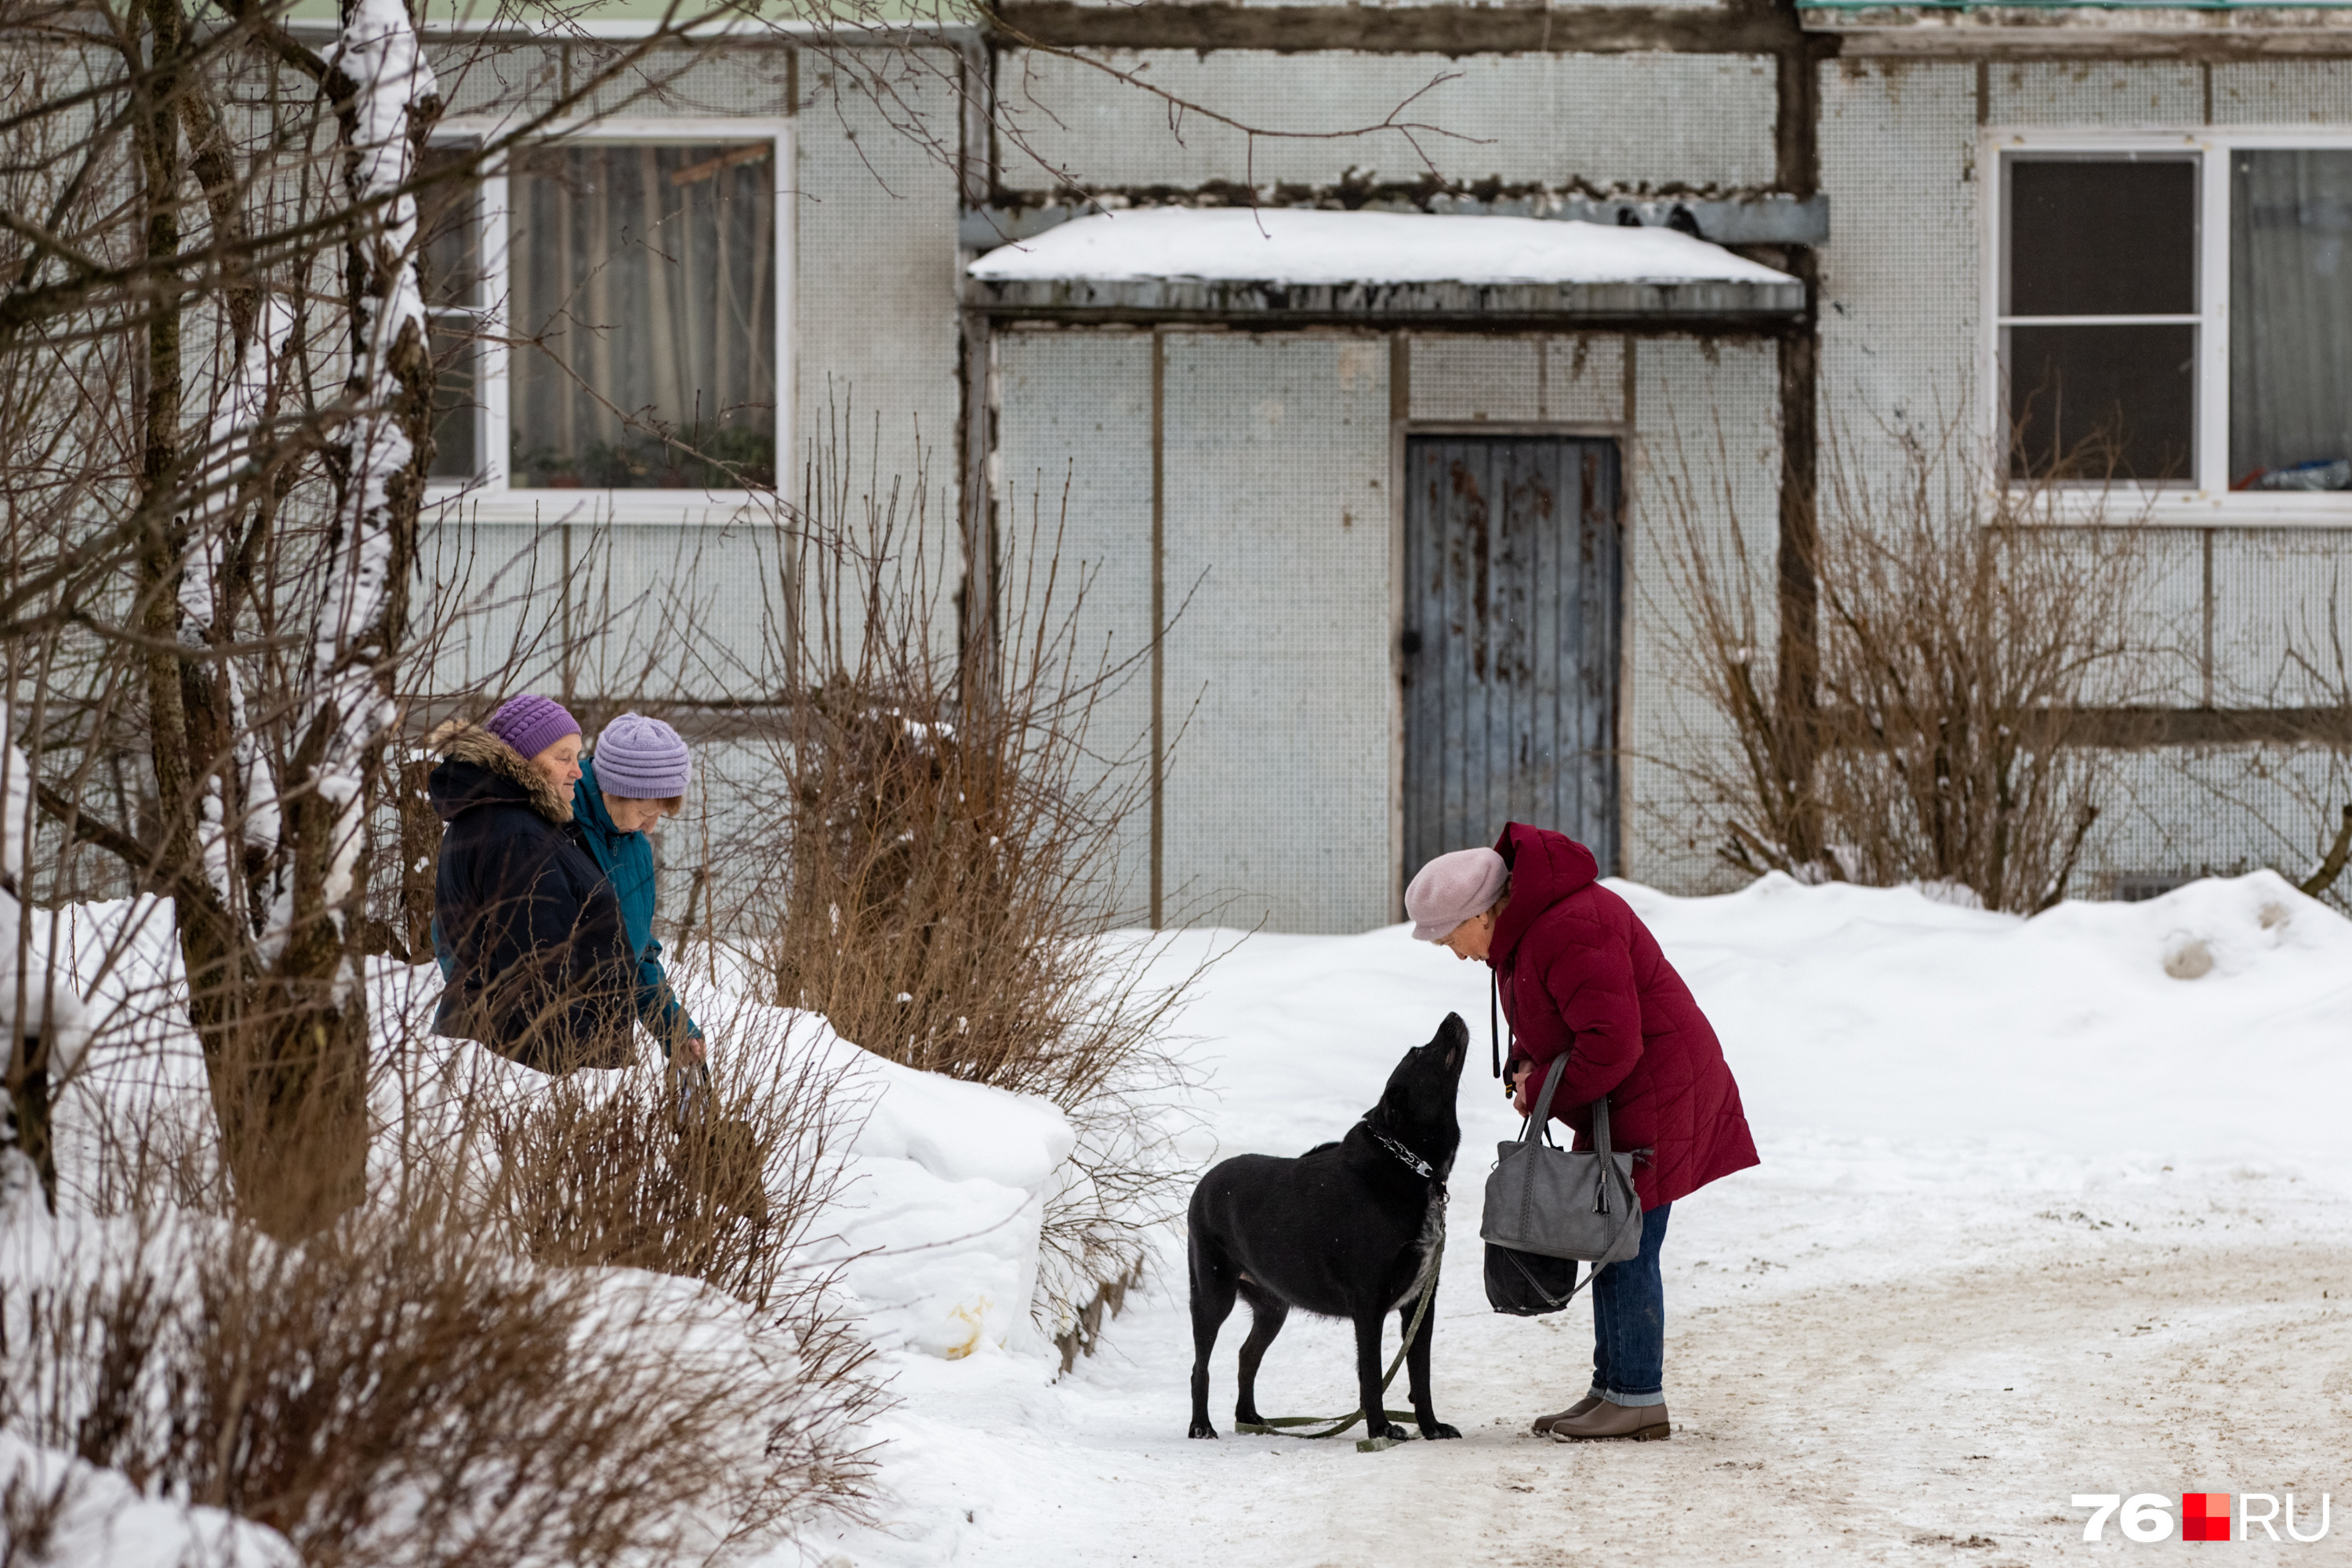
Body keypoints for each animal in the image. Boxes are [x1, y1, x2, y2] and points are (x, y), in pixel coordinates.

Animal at [1185, 1011, 1458, 1439]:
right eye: (1417, 1051)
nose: (1452, 1016)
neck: (1411, 1167)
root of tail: (1204, 1182)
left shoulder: (1419, 1304)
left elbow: (1420, 1373)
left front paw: (1431, 1428)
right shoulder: (1369, 1303)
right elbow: (1372, 1374)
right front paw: (1381, 1430)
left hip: (1272, 1305)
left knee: (1247, 1356)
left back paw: (1251, 1419)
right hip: (1212, 1293)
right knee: (1201, 1367)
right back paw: (1201, 1427)